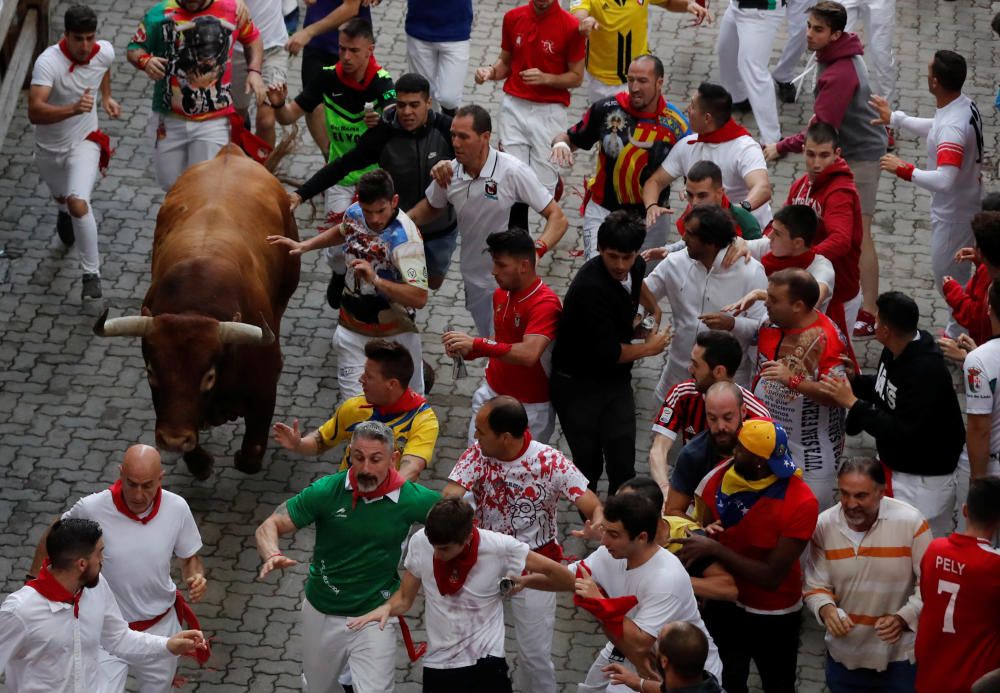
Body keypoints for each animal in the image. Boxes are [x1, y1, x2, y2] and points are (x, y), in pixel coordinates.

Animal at [95, 145, 298, 482]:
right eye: (151, 371)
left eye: (209, 376)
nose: (174, 440)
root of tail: (230, 153)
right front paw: (200, 462)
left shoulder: (264, 390)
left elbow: (251, 454)